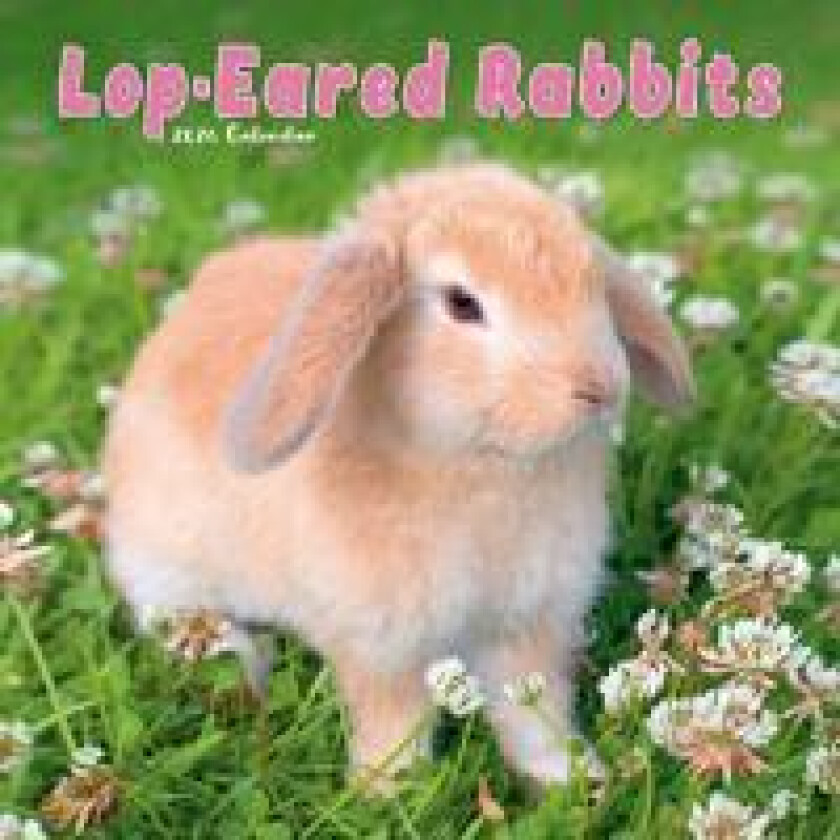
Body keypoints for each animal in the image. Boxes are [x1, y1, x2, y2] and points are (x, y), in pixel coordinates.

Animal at [104, 161, 693, 787]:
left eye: (594, 281)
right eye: (462, 303)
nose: (600, 386)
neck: (479, 465)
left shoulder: (527, 624)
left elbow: (534, 712)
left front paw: (572, 779)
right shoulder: (382, 643)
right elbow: (395, 721)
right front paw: (390, 790)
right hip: (166, 558)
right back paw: (239, 656)